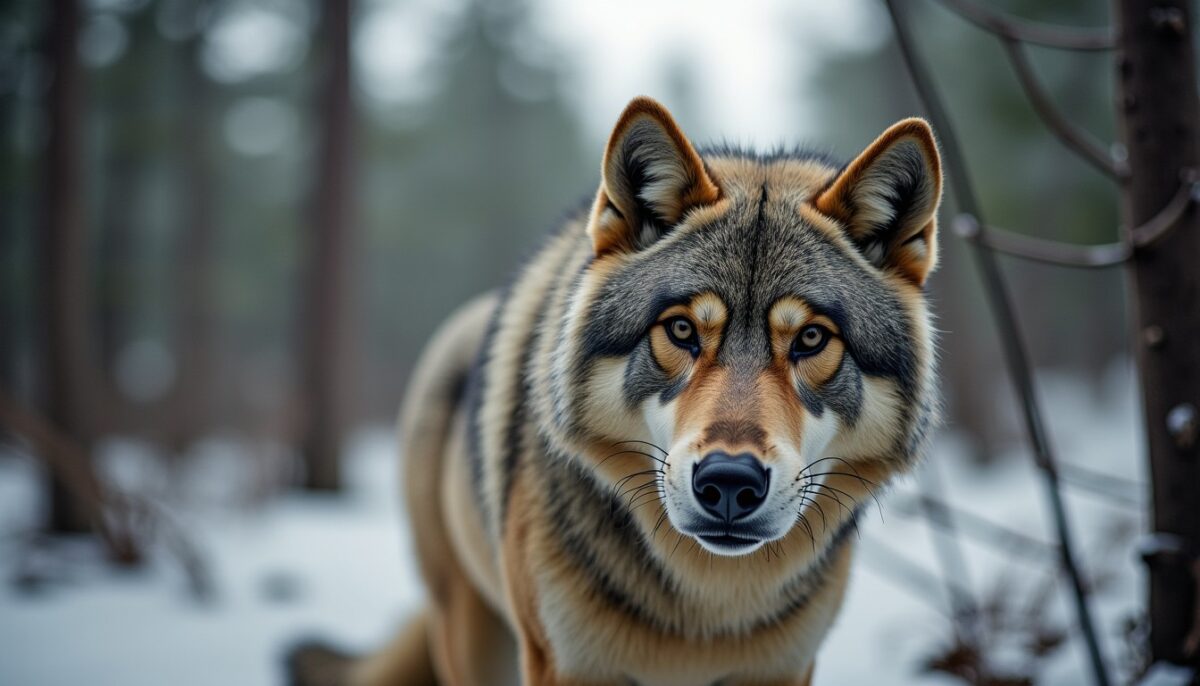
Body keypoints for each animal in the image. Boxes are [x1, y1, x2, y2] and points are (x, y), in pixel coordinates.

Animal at [289, 96, 943, 686]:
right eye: (681, 330)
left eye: (810, 338)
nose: (730, 481)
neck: (705, 608)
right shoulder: (566, 666)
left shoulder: (782, 670)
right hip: (472, 636)